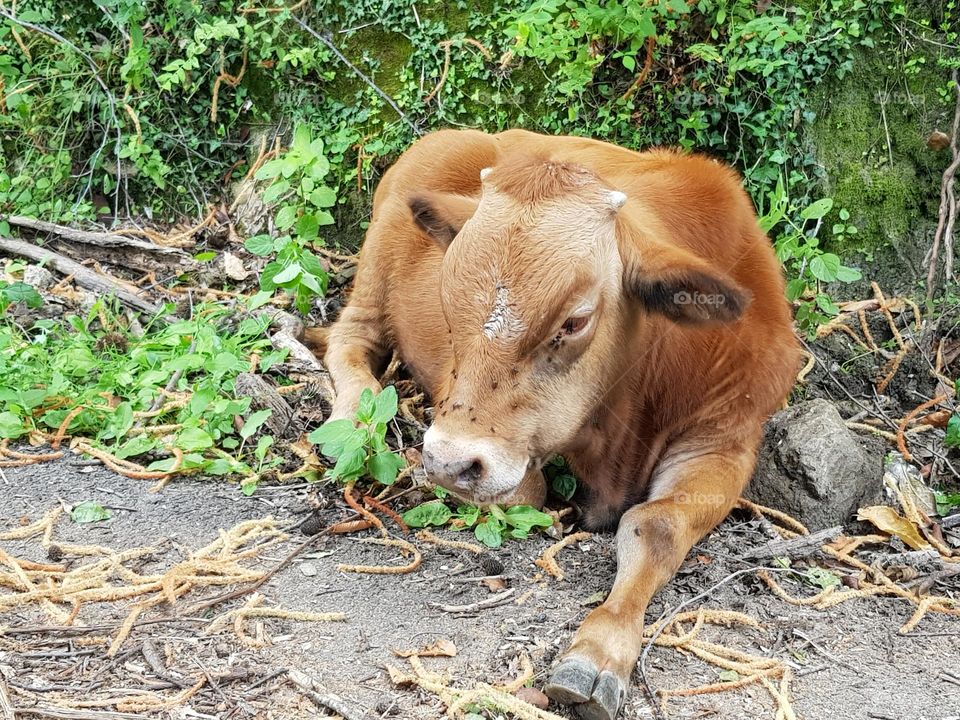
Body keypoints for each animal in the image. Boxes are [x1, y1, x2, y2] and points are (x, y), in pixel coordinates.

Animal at [318, 131, 800, 720]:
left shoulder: (725, 440)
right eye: (448, 300)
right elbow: (531, 491)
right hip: (373, 279)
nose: (447, 463)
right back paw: (353, 418)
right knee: (349, 338)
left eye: (574, 321)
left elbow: (656, 526)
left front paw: (599, 649)